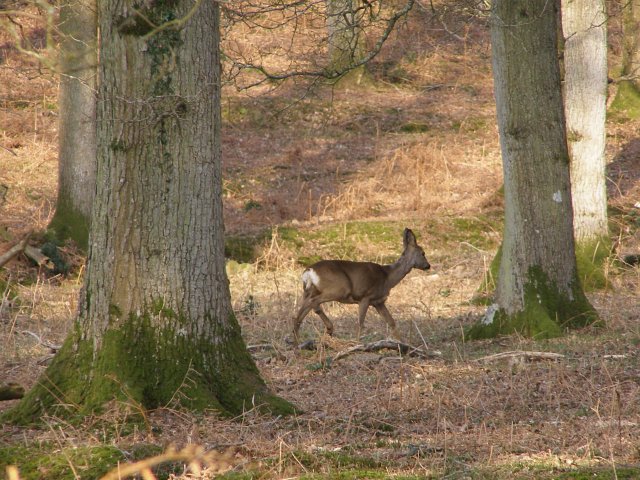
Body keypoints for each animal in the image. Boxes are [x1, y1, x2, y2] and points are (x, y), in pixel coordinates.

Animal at [290, 227, 430, 344]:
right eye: (423, 253)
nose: (428, 266)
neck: (388, 277)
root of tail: (309, 271)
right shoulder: (365, 296)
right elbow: (360, 323)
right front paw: (357, 343)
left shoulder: (378, 302)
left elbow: (391, 322)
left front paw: (403, 344)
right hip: (339, 288)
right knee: (314, 303)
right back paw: (329, 328)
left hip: (309, 291)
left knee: (300, 312)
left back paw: (297, 341)